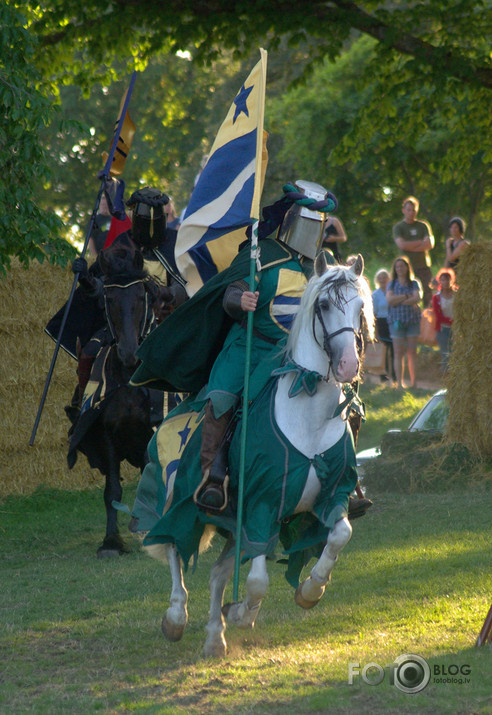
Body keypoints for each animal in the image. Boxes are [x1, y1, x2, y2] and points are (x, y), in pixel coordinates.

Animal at [66, 242, 162, 560]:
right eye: (109, 298)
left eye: (141, 296)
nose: (130, 353)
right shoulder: (106, 435)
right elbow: (112, 492)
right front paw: (111, 541)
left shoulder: (154, 430)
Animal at [138, 253, 372, 660]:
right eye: (324, 305)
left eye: (360, 307)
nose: (347, 366)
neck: (308, 416)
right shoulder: (261, 507)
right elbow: (259, 580)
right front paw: (242, 613)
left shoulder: (331, 498)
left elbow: (341, 534)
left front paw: (310, 590)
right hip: (179, 500)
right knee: (172, 549)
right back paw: (176, 616)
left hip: (232, 524)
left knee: (217, 573)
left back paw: (215, 638)